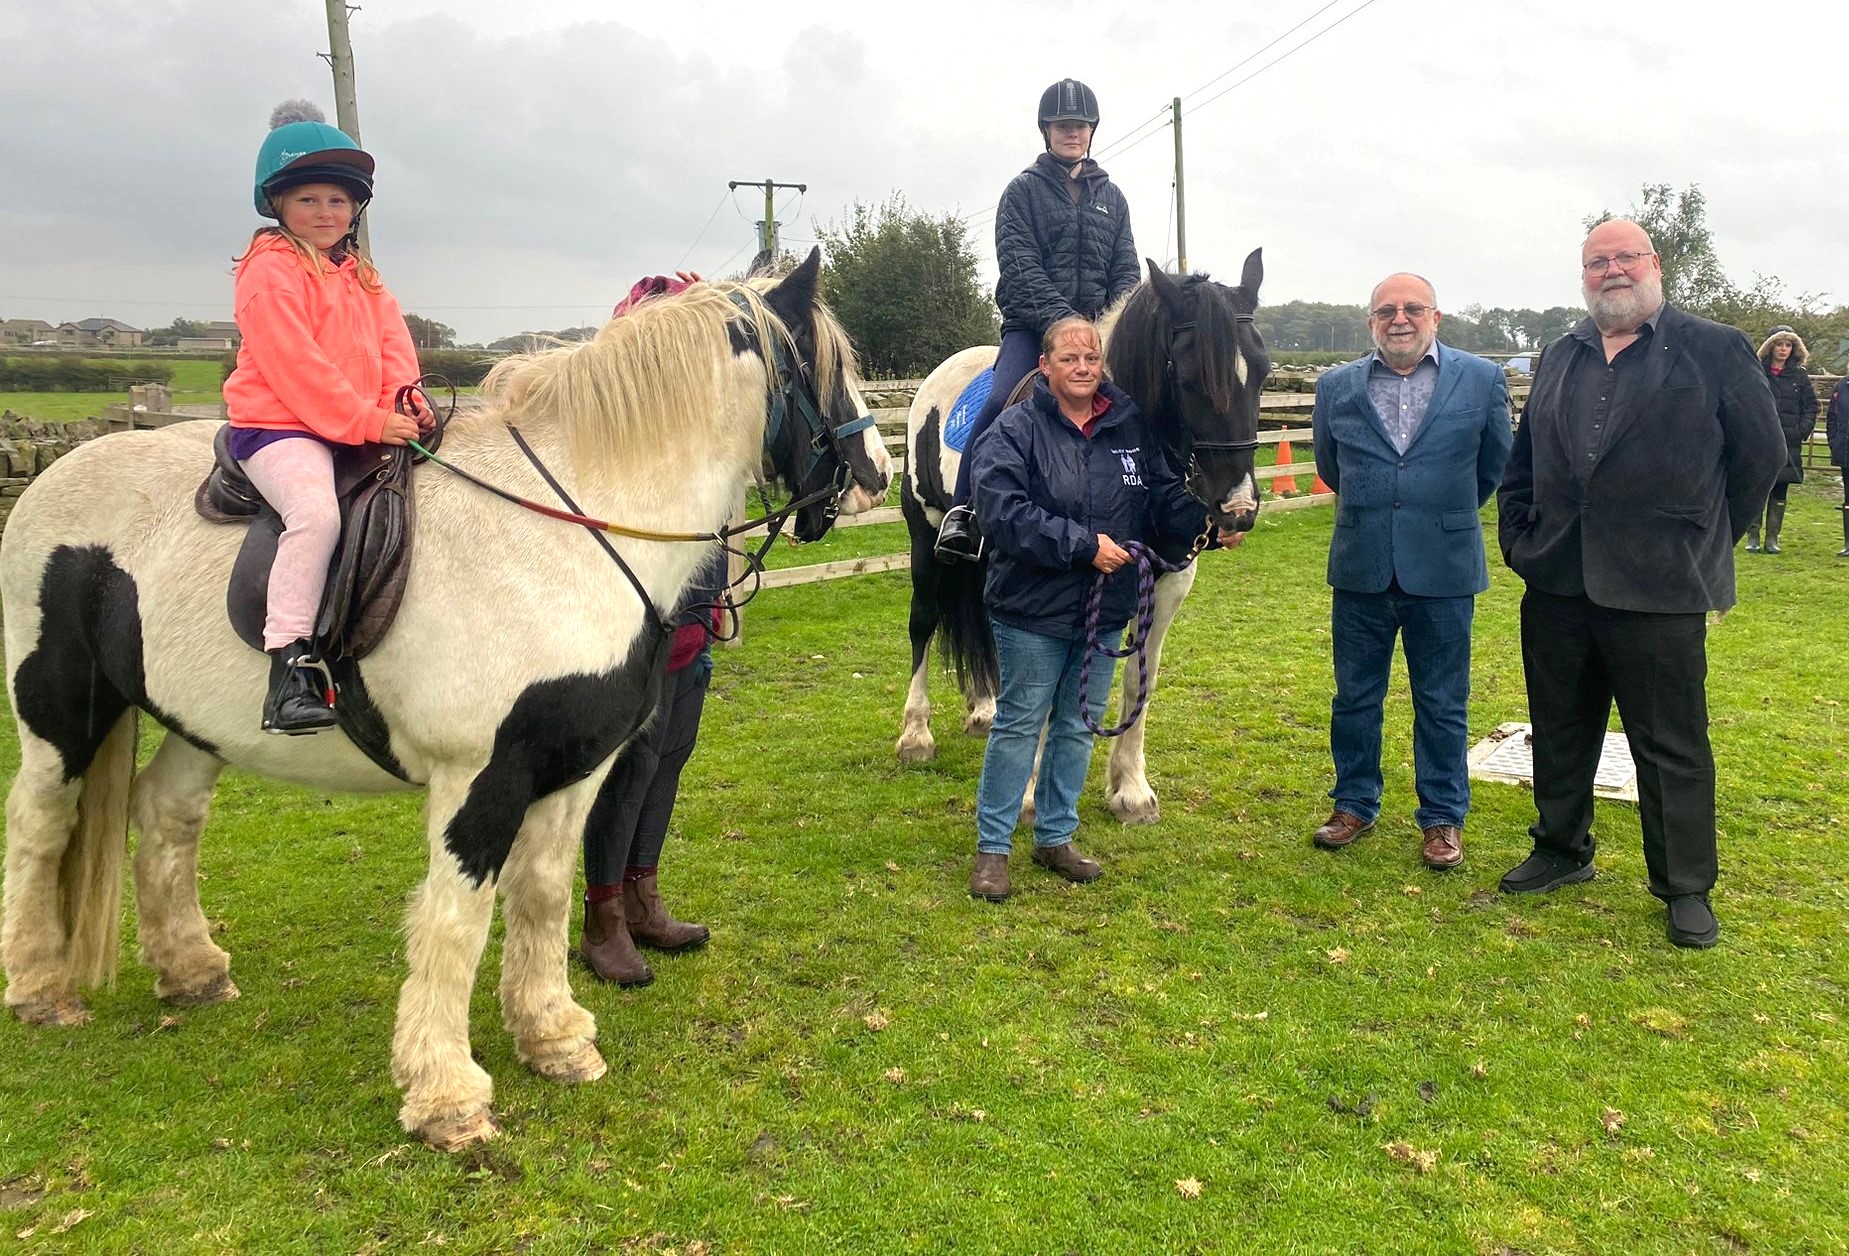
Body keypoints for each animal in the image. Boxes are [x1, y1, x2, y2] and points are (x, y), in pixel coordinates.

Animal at [0, 249, 894, 1154]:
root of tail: (51, 481)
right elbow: (456, 919)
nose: (875, 476)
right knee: (40, 821)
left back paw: (191, 971)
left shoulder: (572, 772)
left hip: (198, 724)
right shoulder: (478, 779)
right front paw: (445, 1095)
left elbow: (541, 895)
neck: (569, 527)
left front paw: (553, 1037)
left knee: (167, 814)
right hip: (57, 709)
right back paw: (39, 986)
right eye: (826, 364)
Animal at [894, 253, 1272, 825]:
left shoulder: (1166, 584)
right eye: (1189, 379)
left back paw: (985, 709)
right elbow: (1045, 682)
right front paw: (1030, 795)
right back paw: (916, 735)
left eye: (1263, 374)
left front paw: (1131, 790)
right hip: (927, 537)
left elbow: (1139, 679)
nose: (1238, 510)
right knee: (924, 622)